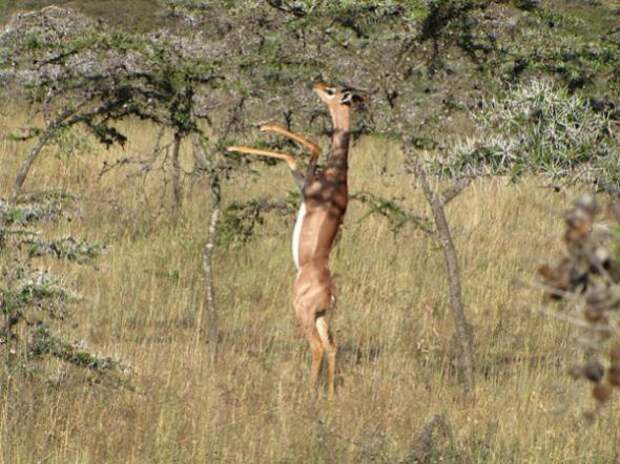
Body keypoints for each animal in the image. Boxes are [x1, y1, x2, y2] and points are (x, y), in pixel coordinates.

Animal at [228, 81, 364, 396]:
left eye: (331, 91)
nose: (316, 83)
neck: (336, 174)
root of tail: (330, 293)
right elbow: (295, 154)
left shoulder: (306, 185)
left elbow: (309, 147)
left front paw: (250, 135)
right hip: (321, 317)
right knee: (333, 347)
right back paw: (329, 395)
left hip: (303, 313)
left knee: (317, 348)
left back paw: (309, 393)